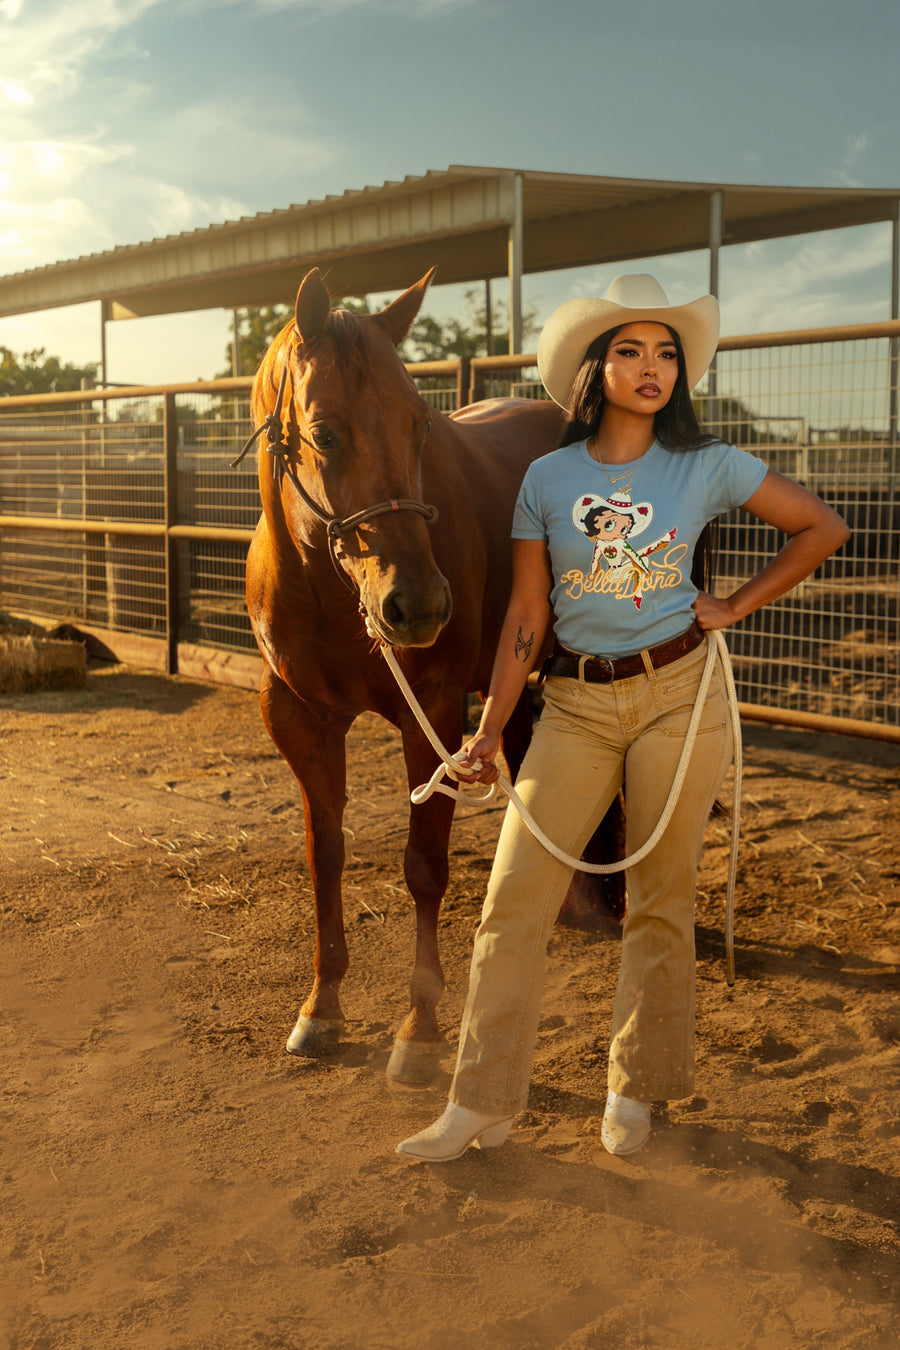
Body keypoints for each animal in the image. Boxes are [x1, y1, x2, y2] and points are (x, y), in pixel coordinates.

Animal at [242, 271, 615, 1085]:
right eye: (323, 433)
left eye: (419, 425)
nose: (418, 605)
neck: (330, 592)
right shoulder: (302, 721)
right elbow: (326, 855)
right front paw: (321, 1010)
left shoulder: (434, 716)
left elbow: (423, 867)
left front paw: (419, 1032)